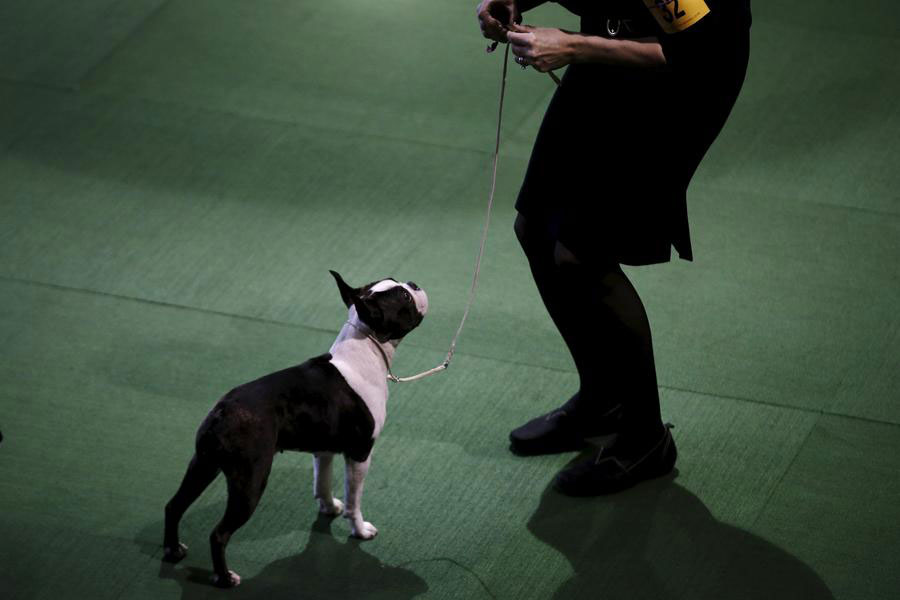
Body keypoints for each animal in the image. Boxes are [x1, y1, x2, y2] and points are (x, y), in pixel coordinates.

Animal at [163, 270, 428, 584]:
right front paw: (360, 530)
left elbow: (322, 481)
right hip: (250, 481)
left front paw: (328, 508)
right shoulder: (360, 453)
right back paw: (225, 578)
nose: (414, 284)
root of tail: (222, 412)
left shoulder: (324, 449)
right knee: (219, 534)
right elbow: (355, 500)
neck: (365, 347)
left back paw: (172, 551)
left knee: (174, 505)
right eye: (404, 297)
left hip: (203, 465)